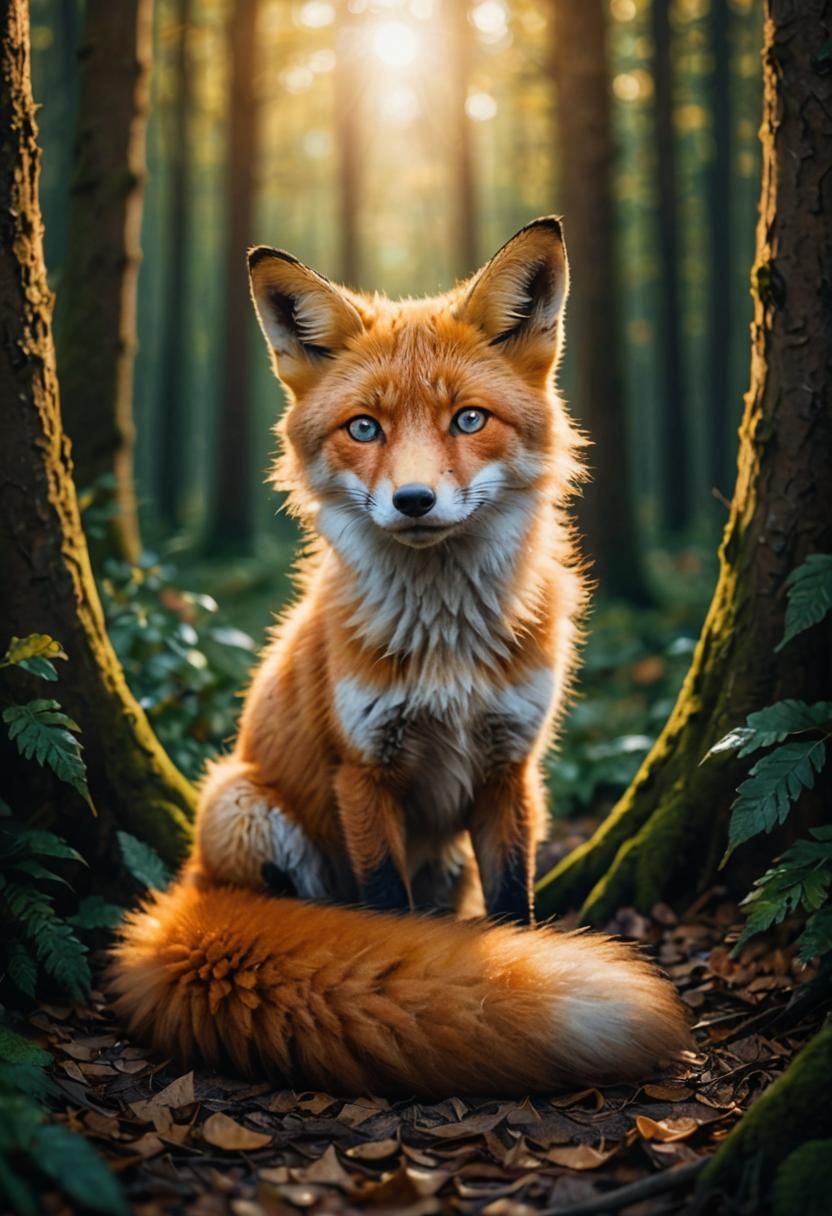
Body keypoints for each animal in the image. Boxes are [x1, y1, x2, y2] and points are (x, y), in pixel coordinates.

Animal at [110, 218, 691, 1096]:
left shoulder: (510, 767)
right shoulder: (363, 769)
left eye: (468, 420)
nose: (413, 502)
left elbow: (513, 903)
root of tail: (192, 887)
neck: (447, 649)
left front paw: (516, 966)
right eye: (364, 428)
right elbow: (386, 911)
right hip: (238, 806)